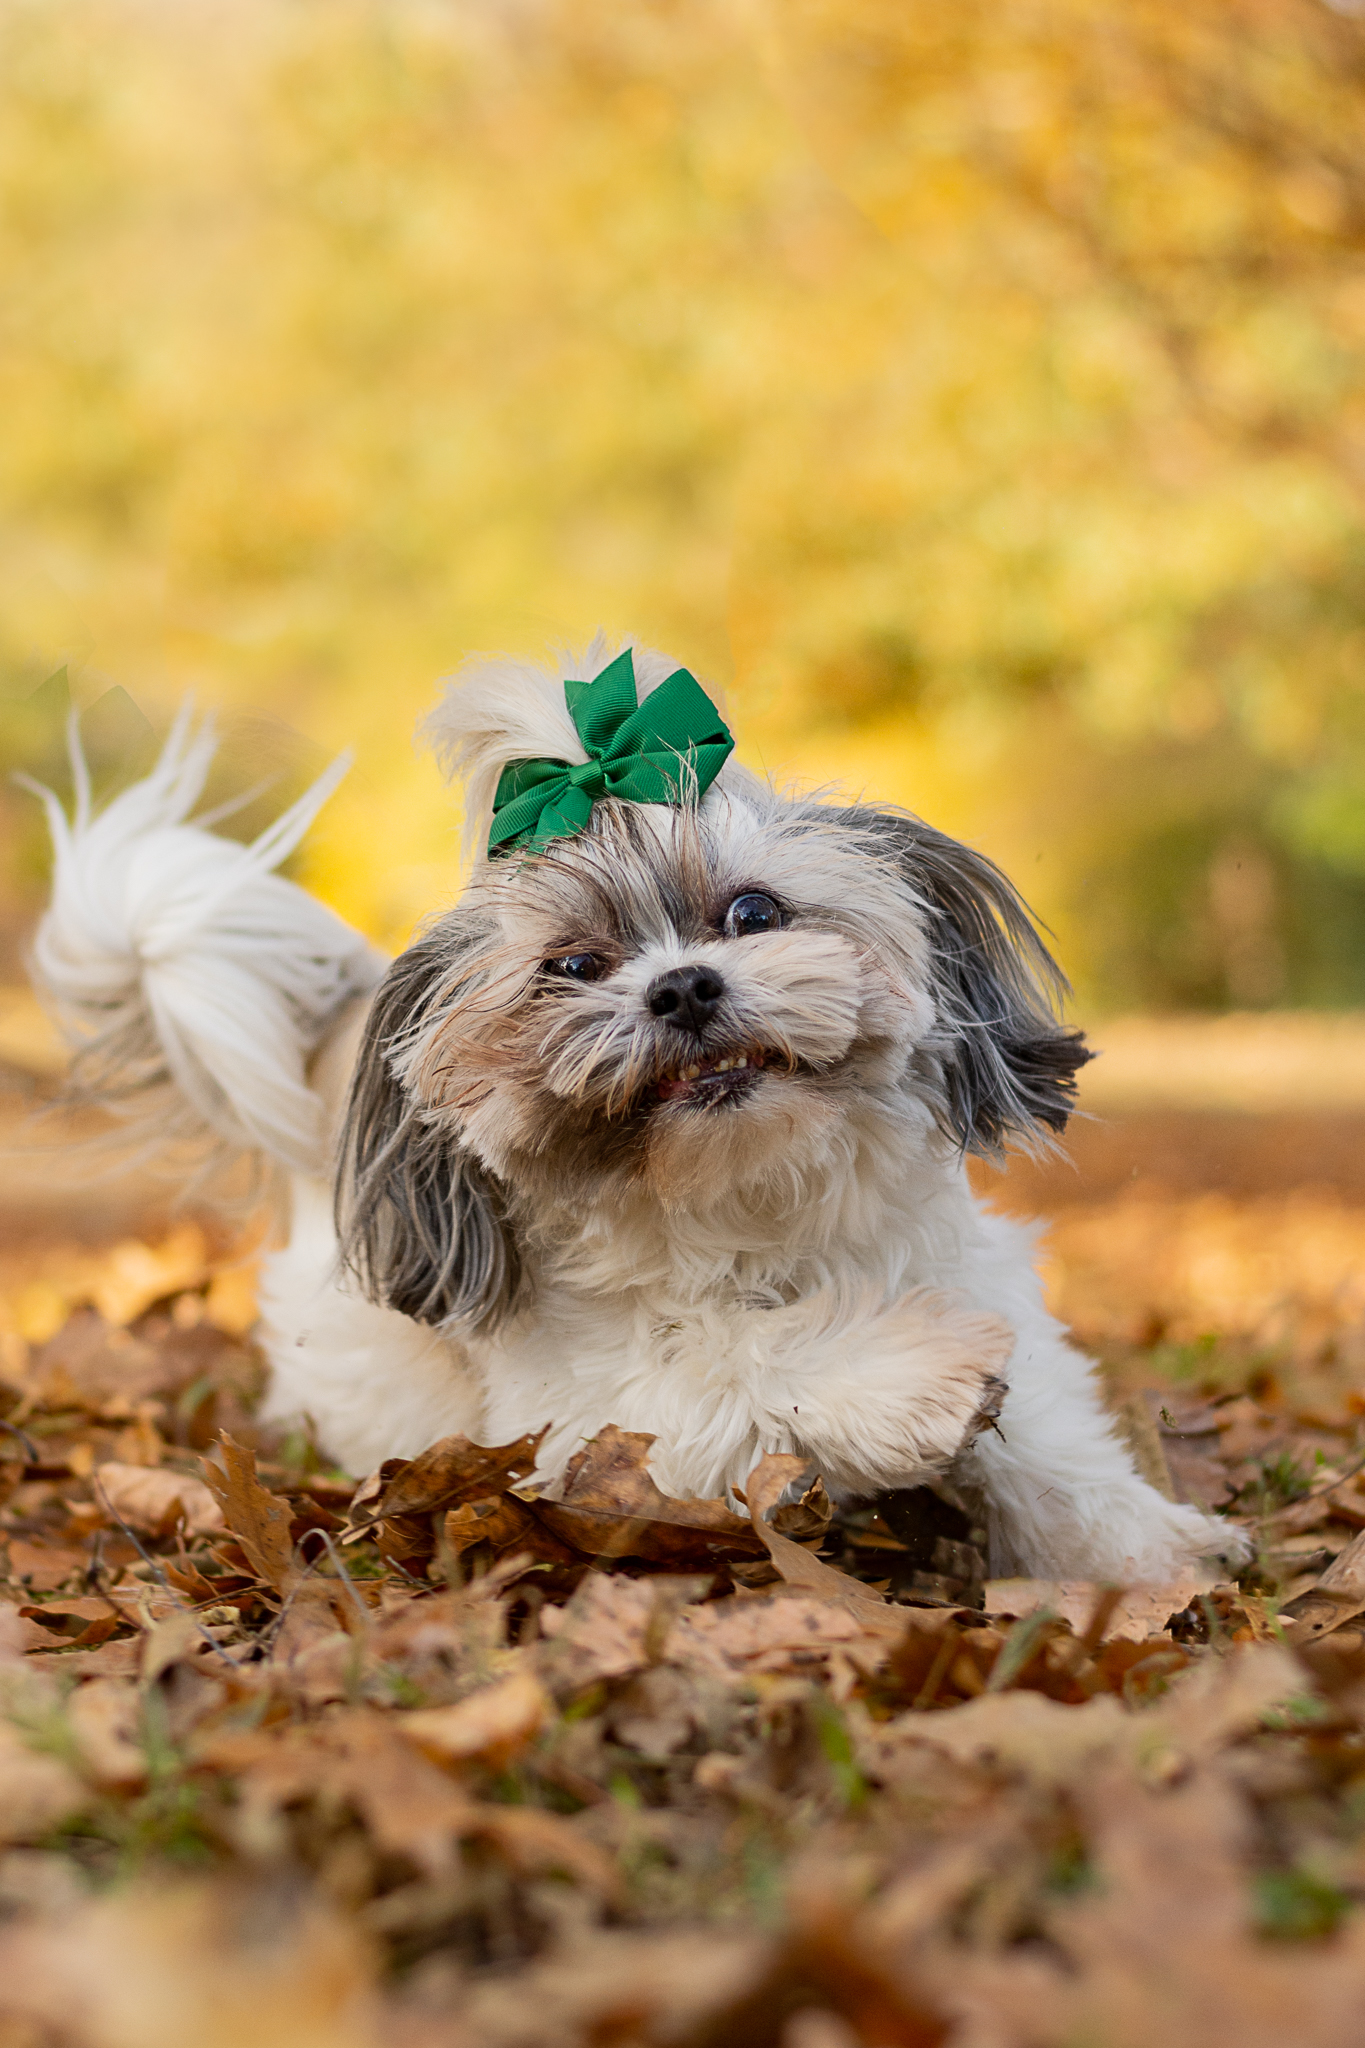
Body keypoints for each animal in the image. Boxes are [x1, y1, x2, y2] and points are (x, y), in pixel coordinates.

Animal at [29, 638, 1252, 1581]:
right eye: (573, 966)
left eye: (752, 911)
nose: (681, 985)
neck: (755, 1208)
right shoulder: (592, 1433)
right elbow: (739, 1364)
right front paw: (912, 1372)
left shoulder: (979, 1277)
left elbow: (1047, 1437)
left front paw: (1148, 1552)